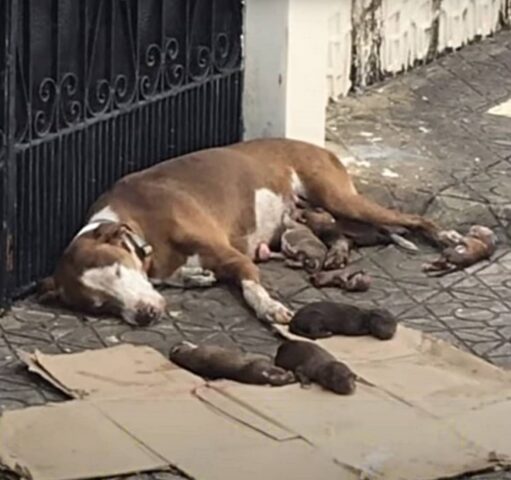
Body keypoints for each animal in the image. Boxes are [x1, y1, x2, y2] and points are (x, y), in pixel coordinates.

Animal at [40, 138, 440, 326]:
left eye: (119, 272)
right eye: (100, 306)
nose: (144, 315)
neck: (143, 230)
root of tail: (317, 146)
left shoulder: (233, 257)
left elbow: (251, 287)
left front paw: (270, 307)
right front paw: (195, 277)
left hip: (339, 197)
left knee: (414, 220)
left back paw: (445, 239)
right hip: (329, 214)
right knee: (349, 233)